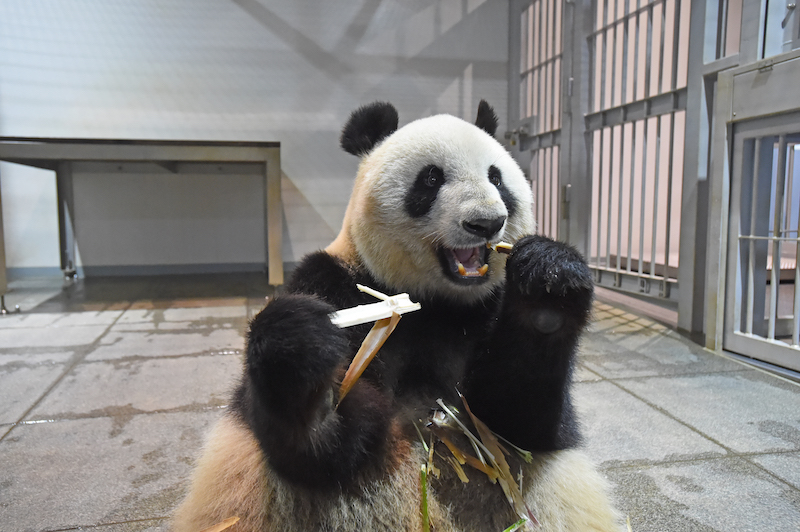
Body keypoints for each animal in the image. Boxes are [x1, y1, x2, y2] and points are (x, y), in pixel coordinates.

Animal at [173, 102, 624, 528]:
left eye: (497, 178)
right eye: (431, 179)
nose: (486, 223)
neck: (436, 302)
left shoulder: (483, 310)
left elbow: (514, 419)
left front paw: (549, 284)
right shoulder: (333, 280)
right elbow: (325, 449)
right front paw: (307, 366)